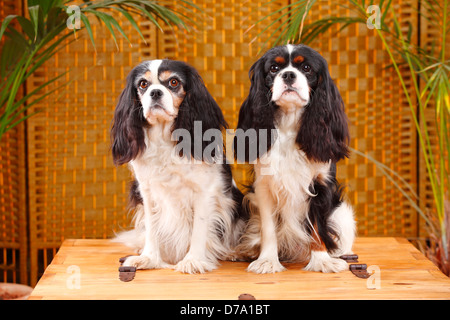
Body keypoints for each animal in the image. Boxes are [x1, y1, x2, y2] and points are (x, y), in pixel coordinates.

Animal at [111, 59, 246, 272]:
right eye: (143, 84)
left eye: (173, 82)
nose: (155, 92)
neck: (164, 137)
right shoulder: (147, 193)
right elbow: (152, 229)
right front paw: (149, 258)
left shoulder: (204, 193)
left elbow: (199, 230)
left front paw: (193, 260)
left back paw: (234, 252)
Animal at [232, 44, 356, 276]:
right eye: (274, 68)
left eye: (306, 68)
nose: (288, 75)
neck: (289, 120)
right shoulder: (263, 188)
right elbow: (268, 228)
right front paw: (267, 260)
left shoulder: (320, 184)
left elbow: (316, 227)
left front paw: (321, 260)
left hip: (342, 214)